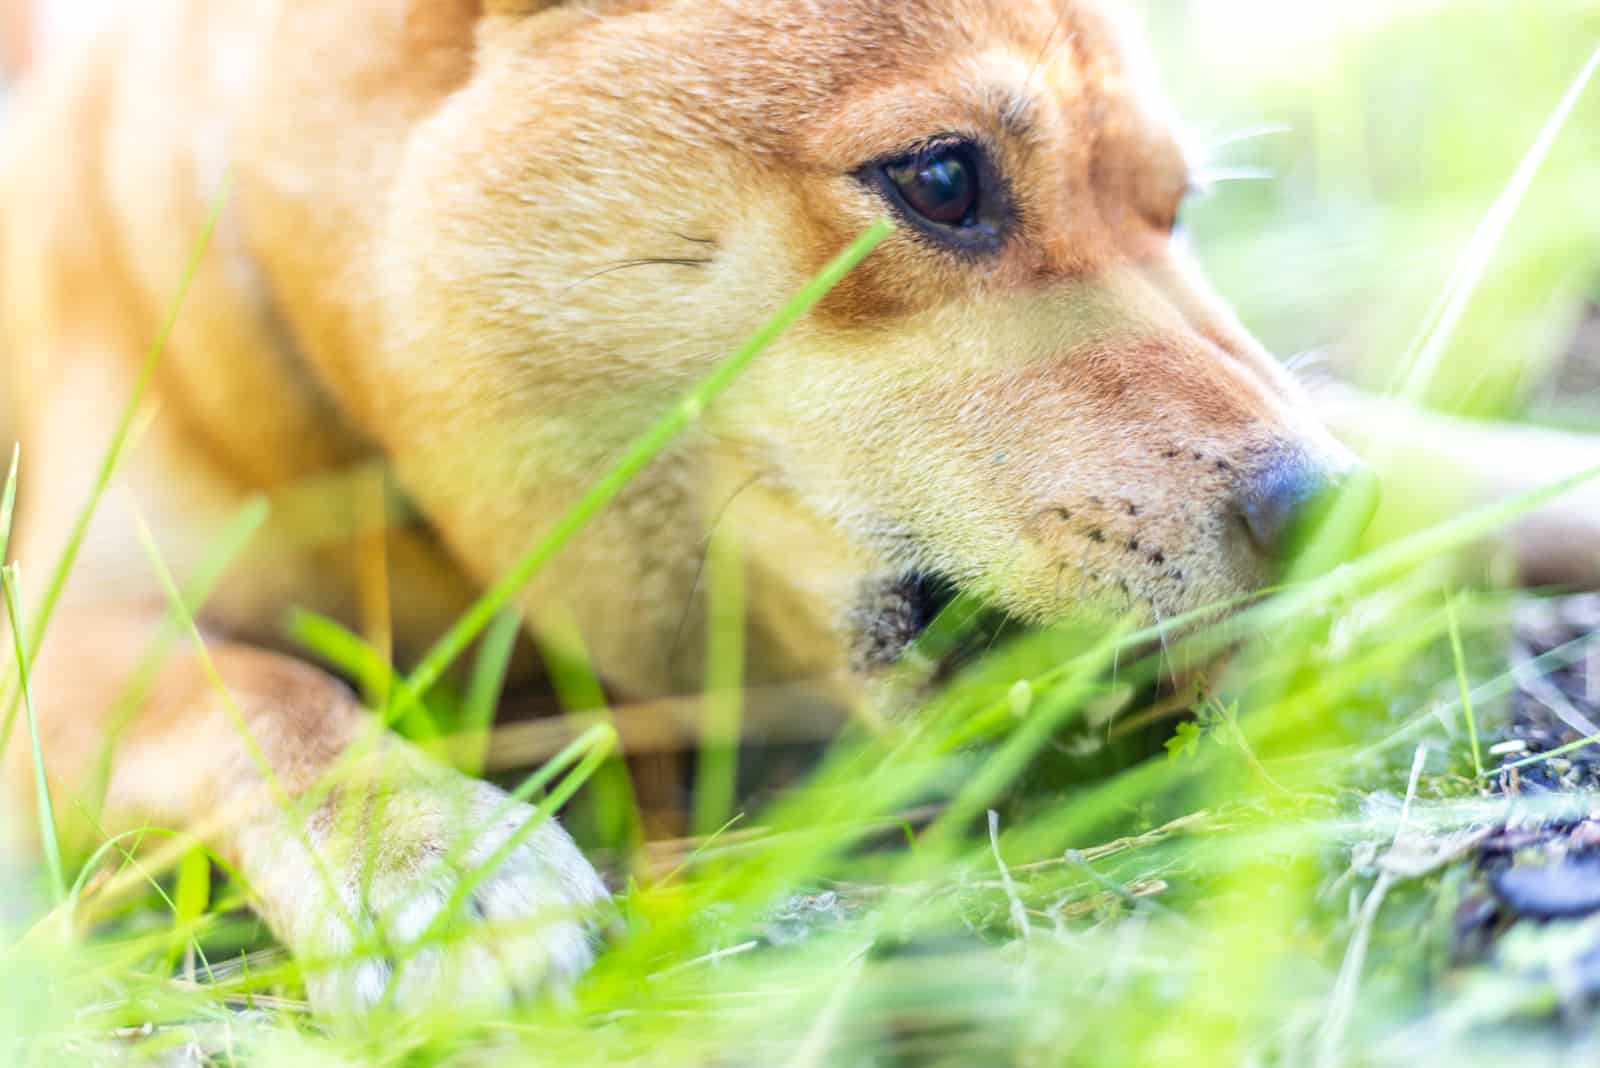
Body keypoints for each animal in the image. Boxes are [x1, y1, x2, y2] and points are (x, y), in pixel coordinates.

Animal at [0, 0, 1593, 1016]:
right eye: (944, 176)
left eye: (1176, 209)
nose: (1322, 509)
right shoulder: (63, 644)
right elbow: (252, 693)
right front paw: (429, 852)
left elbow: (1414, 440)